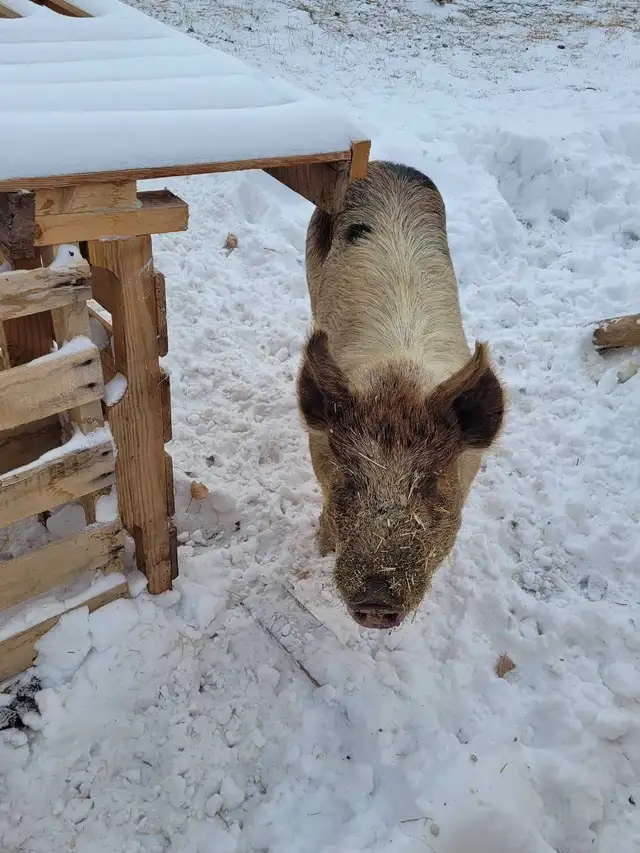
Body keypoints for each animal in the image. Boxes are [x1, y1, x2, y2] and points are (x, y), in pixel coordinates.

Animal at [296, 161, 506, 629]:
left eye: (429, 482)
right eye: (350, 478)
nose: (375, 602)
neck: (399, 381)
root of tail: (384, 165)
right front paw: (320, 546)